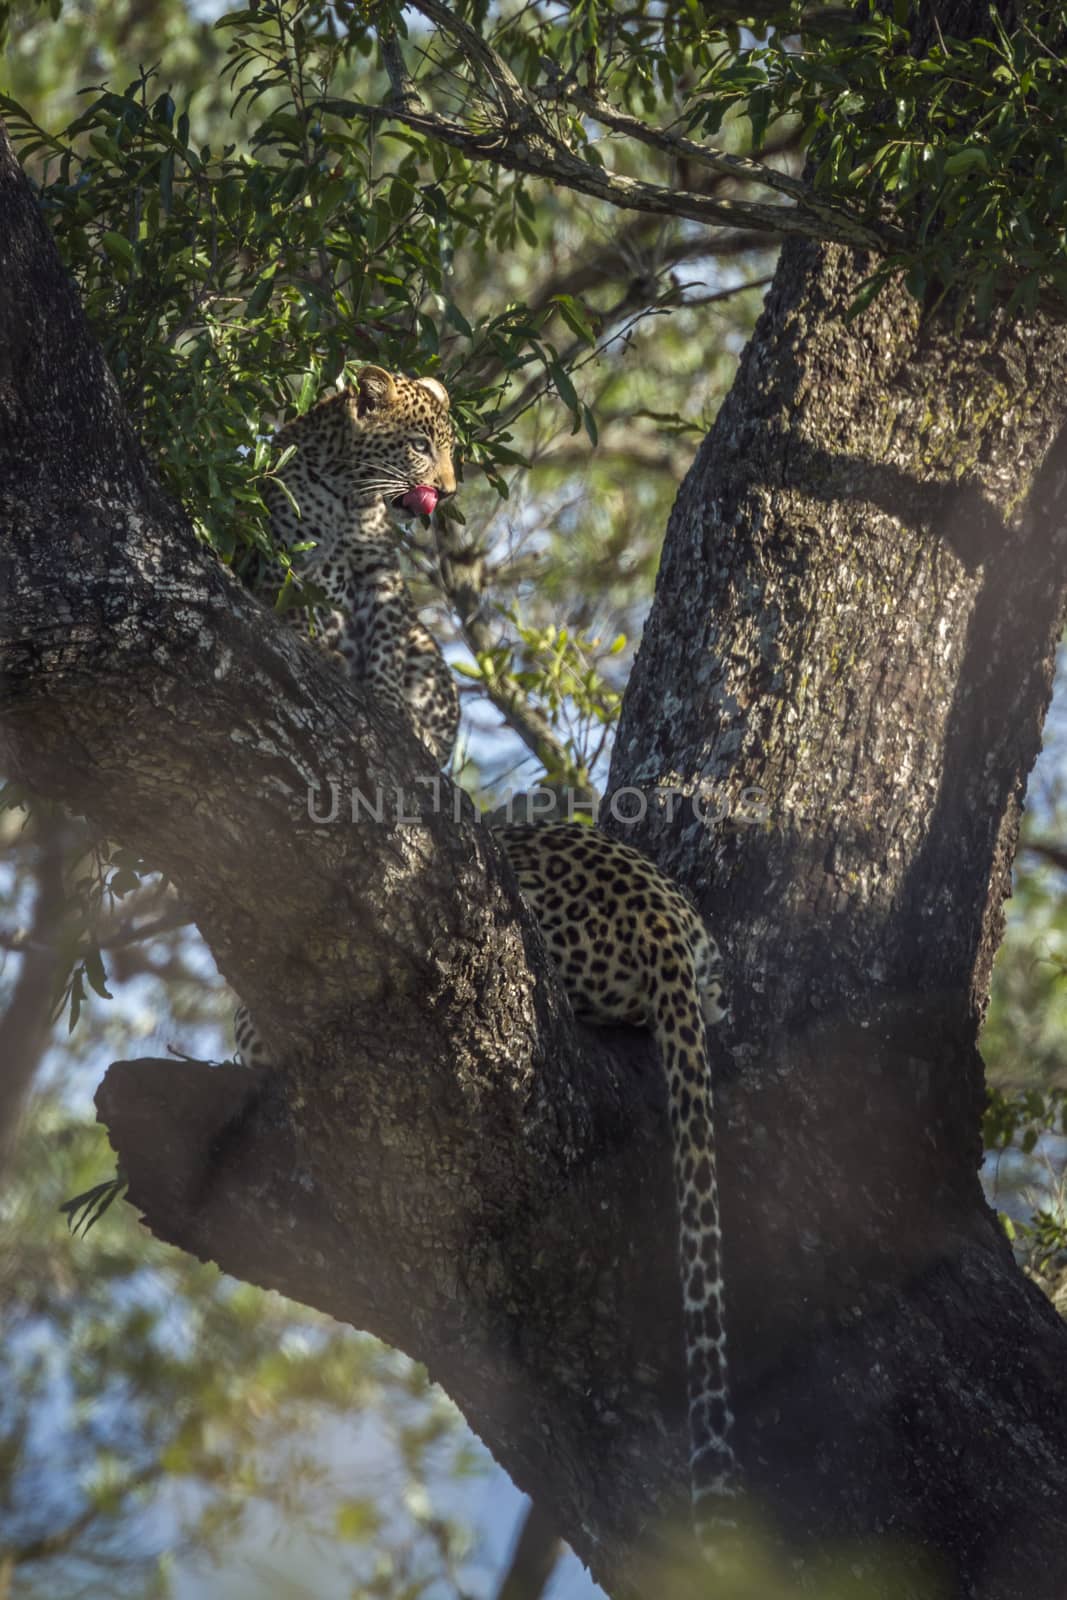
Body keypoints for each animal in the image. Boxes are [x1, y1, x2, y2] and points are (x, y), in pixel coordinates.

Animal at [231, 366, 735, 1548]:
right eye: (423, 445)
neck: (337, 499)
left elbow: (393, 671)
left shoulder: (375, 611)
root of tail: (664, 928)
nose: (450, 492)